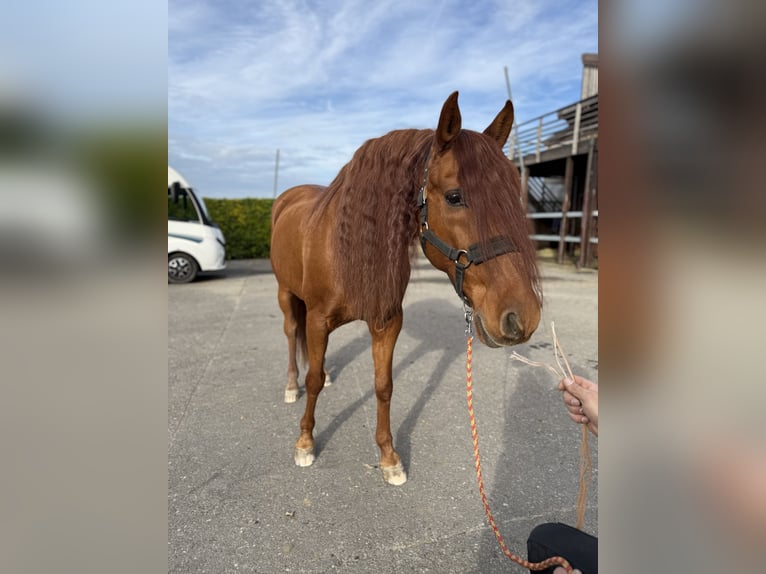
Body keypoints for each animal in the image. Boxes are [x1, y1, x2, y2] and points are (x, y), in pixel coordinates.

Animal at [270, 91, 541, 486]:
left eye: (511, 196)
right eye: (455, 196)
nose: (522, 317)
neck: (349, 247)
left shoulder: (386, 323)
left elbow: (384, 386)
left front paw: (389, 457)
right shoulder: (319, 319)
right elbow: (314, 378)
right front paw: (305, 442)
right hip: (286, 294)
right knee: (293, 335)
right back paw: (292, 387)